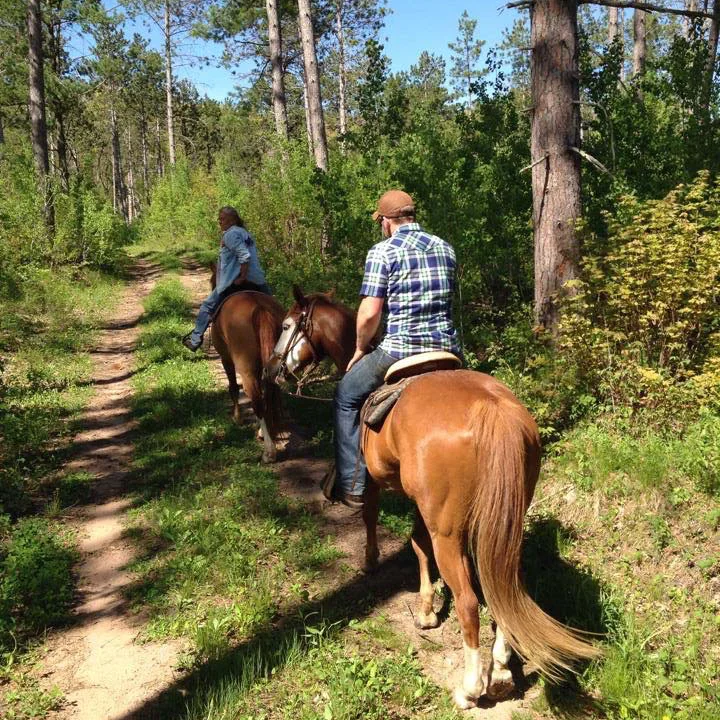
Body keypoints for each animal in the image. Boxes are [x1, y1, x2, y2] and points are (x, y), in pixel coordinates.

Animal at [208, 268, 284, 464]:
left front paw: (237, 418)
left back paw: (269, 452)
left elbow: (233, 387)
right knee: (266, 395)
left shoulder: (226, 358)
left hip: (245, 368)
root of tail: (260, 308)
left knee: (256, 398)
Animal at [268, 286, 600, 708]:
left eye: (286, 325)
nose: (273, 369)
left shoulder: (376, 481)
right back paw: (502, 672)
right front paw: (426, 608)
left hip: (450, 531)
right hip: (502, 523)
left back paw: (471, 688)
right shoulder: (421, 504)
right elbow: (417, 543)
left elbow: (375, 518)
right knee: (505, 587)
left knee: (470, 601)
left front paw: (372, 561)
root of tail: (493, 408)